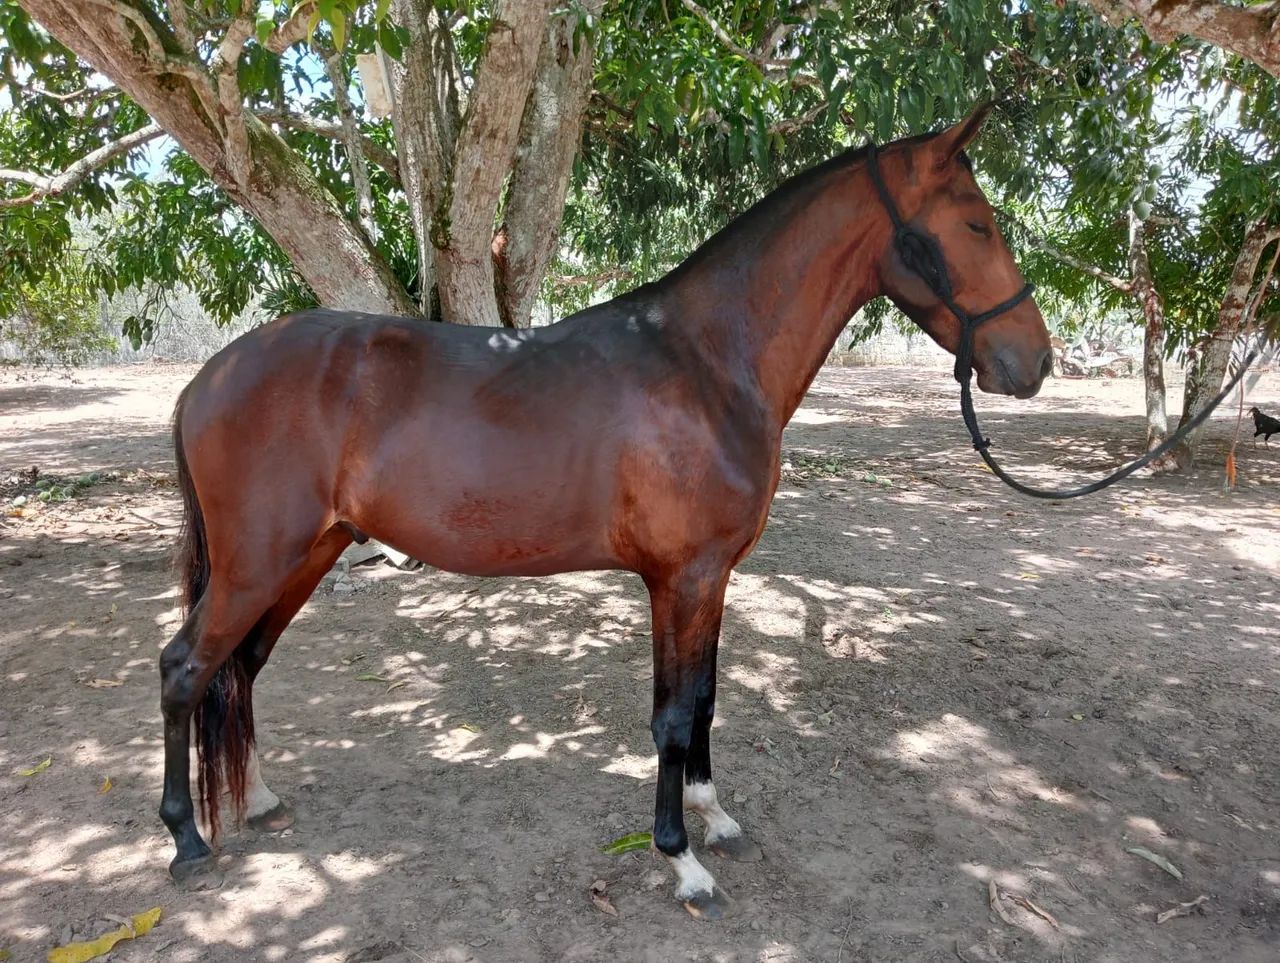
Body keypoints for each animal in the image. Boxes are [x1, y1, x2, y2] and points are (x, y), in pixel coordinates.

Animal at [159, 105, 1052, 919]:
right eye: (976, 222)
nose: (1035, 362)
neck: (708, 364)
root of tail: (208, 377)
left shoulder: (709, 579)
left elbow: (706, 698)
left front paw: (713, 815)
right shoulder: (682, 579)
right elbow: (673, 715)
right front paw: (681, 858)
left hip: (304, 554)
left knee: (240, 667)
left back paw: (256, 800)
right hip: (255, 563)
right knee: (185, 669)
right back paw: (185, 839)